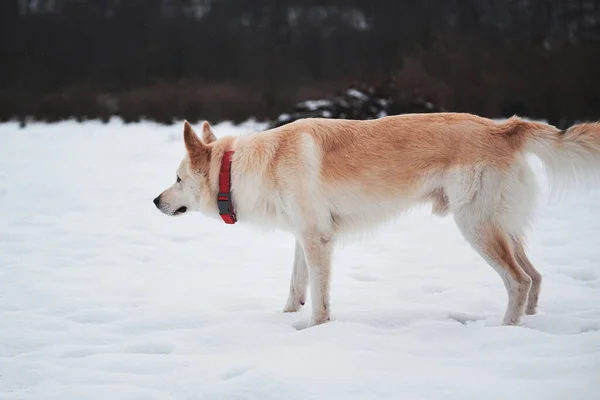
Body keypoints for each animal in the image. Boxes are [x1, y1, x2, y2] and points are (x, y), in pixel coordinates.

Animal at [154, 112, 600, 328]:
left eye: (176, 179)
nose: (155, 201)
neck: (238, 168)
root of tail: (505, 128)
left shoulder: (318, 241)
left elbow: (320, 302)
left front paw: (314, 331)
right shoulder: (304, 237)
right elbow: (296, 286)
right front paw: (285, 316)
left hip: (475, 226)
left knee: (518, 281)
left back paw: (505, 330)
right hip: (501, 228)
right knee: (535, 277)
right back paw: (527, 324)